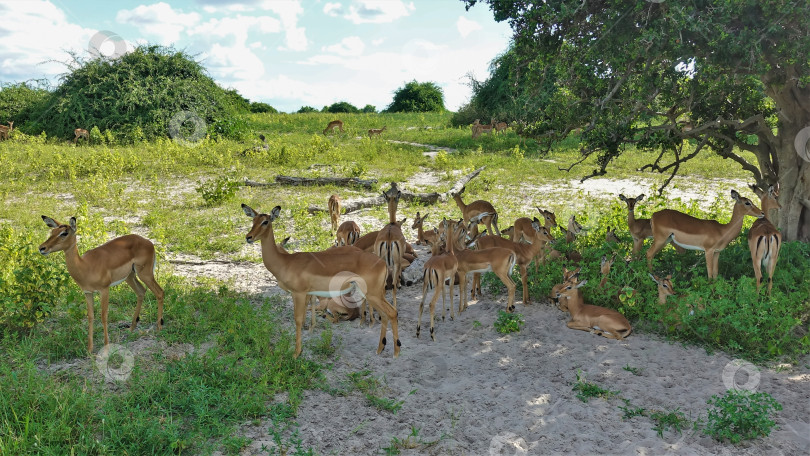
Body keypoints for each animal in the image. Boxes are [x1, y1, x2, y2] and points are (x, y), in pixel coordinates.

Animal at [38, 216, 163, 354]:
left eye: (64, 233)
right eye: (52, 231)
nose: (42, 248)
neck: (85, 266)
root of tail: (149, 242)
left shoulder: (104, 290)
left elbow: (104, 316)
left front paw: (106, 346)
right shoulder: (88, 292)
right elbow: (90, 316)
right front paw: (89, 349)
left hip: (145, 274)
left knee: (160, 292)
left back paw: (159, 328)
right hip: (130, 276)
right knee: (141, 291)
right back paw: (131, 328)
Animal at [243, 205, 400, 358]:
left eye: (265, 221)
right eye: (253, 220)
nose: (249, 237)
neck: (285, 262)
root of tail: (382, 262)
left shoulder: (299, 294)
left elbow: (298, 319)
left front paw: (296, 353)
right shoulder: (304, 294)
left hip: (372, 294)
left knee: (392, 312)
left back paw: (396, 353)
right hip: (373, 294)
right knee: (385, 314)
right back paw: (380, 349)